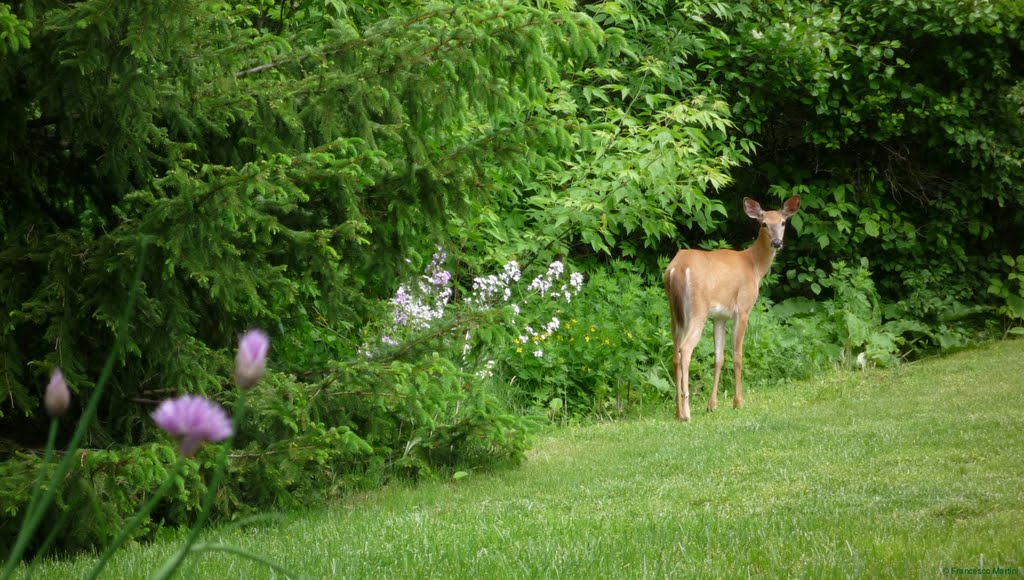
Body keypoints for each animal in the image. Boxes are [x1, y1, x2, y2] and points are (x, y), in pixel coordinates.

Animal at [663, 195, 798, 422]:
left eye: (782, 222)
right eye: (763, 223)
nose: (777, 243)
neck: (754, 266)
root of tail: (677, 268)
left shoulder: (719, 316)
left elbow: (719, 357)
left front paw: (712, 405)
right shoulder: (742, 309)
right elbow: (737, 355)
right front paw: (738, 402)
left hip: (674, 313)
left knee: (675, 353)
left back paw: (677, 412)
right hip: (697, 309)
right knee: (685, 349)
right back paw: (687, 413)